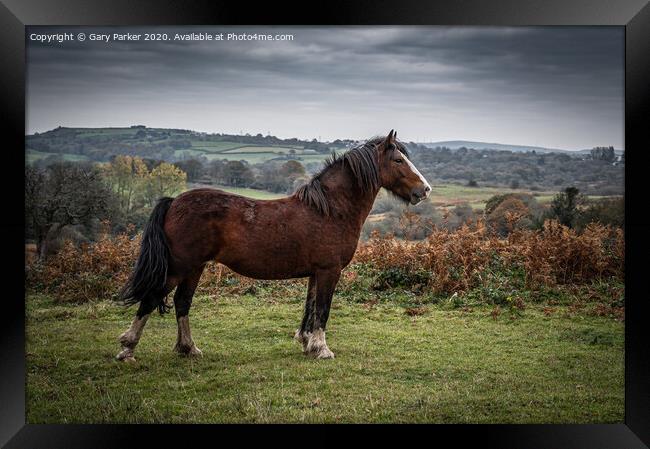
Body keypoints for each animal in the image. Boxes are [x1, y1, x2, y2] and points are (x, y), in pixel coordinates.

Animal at [116, 130, 430, 360]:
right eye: (398, 160)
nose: (424, 190)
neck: (329, 210)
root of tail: (173, 202)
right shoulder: (329, 271)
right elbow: (323, 310)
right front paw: (323, 350)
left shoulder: (316, 272)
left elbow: (309, 307)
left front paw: (308, 343)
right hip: (178, 267)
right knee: (151, 298)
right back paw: (127, 348)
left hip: (194, 268)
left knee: (182, 302)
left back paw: (188, 348)